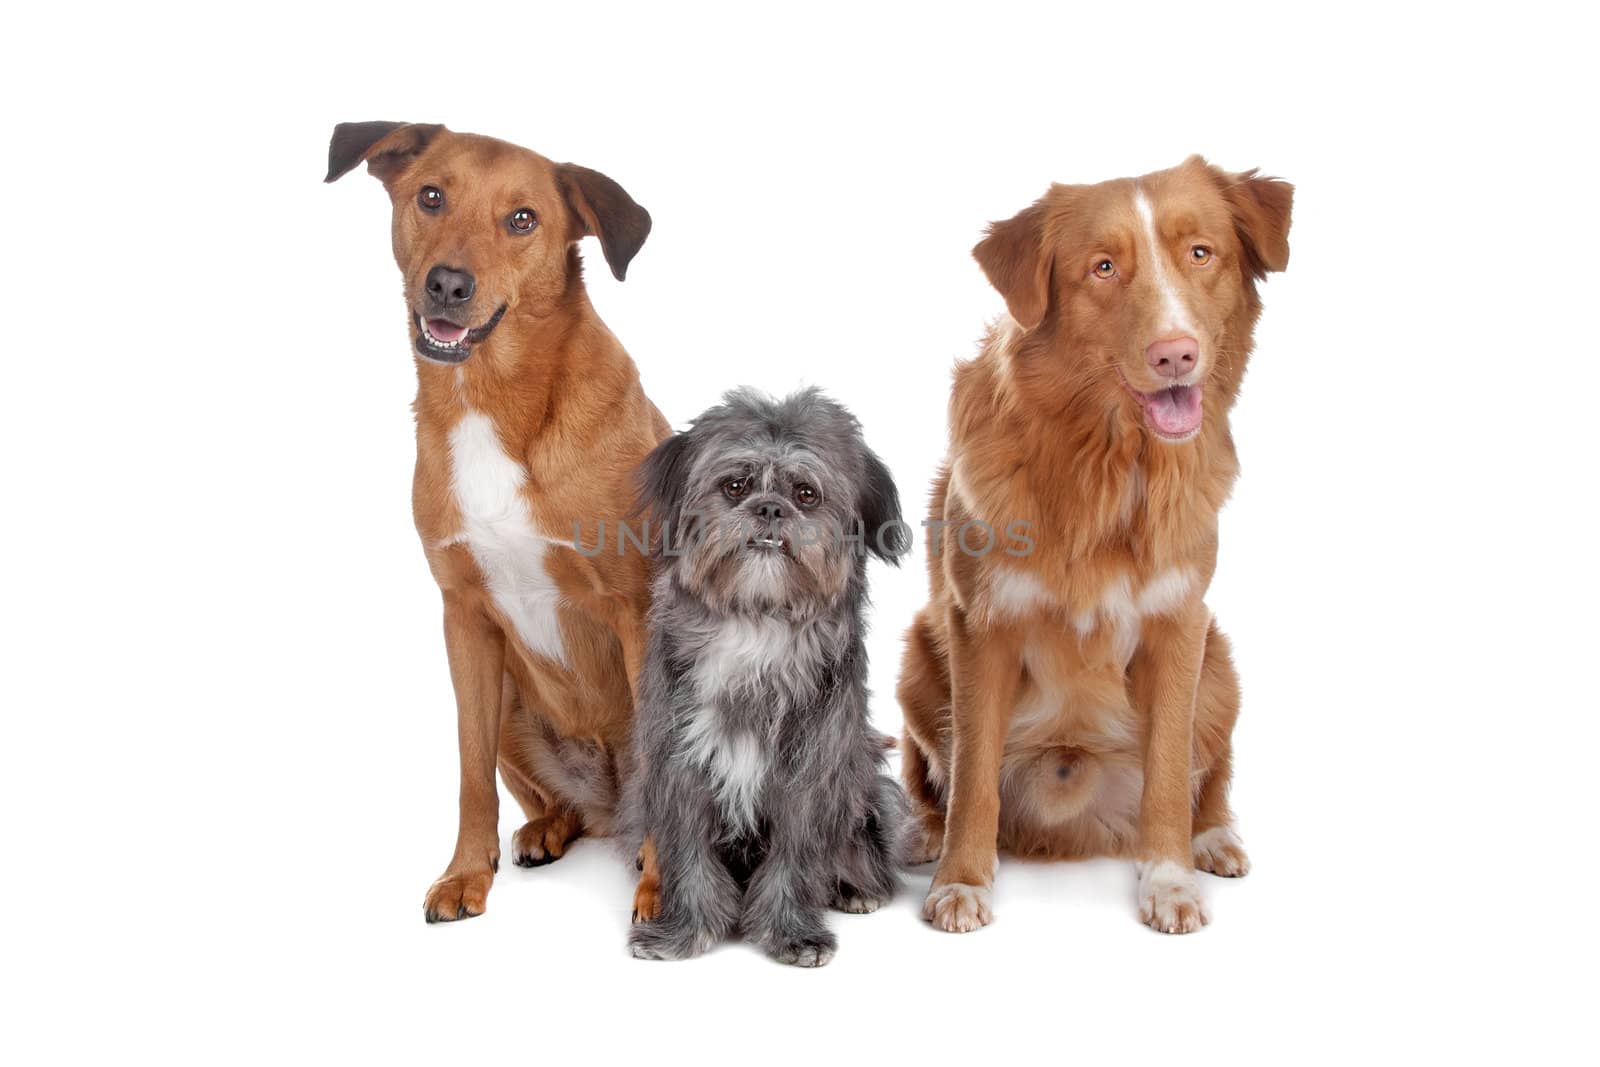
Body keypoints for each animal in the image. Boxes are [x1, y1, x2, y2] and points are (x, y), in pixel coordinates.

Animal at [617, 385, 908, 966]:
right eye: (735, 486)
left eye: (806, 494)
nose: (771, 508)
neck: (756, 626)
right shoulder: (679, 769)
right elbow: (689, 859)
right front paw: (683, 932)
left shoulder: (811, 776)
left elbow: (795, 862)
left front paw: (792, 933)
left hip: (871, 793)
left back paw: (856, 889)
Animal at [902, 156, 1286, 934]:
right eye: (1103, 268)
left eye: (1201, 253)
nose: (1176, 353)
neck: (1109, 465)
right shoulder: (978, 624)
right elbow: (973, 776)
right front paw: (961, 880)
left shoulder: (1178, 625)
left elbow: (1168, 774)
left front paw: (1168, 880)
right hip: (918, 658)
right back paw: (922, 833)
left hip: (1219, 662)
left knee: (1208, 776)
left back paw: (1214, 838)